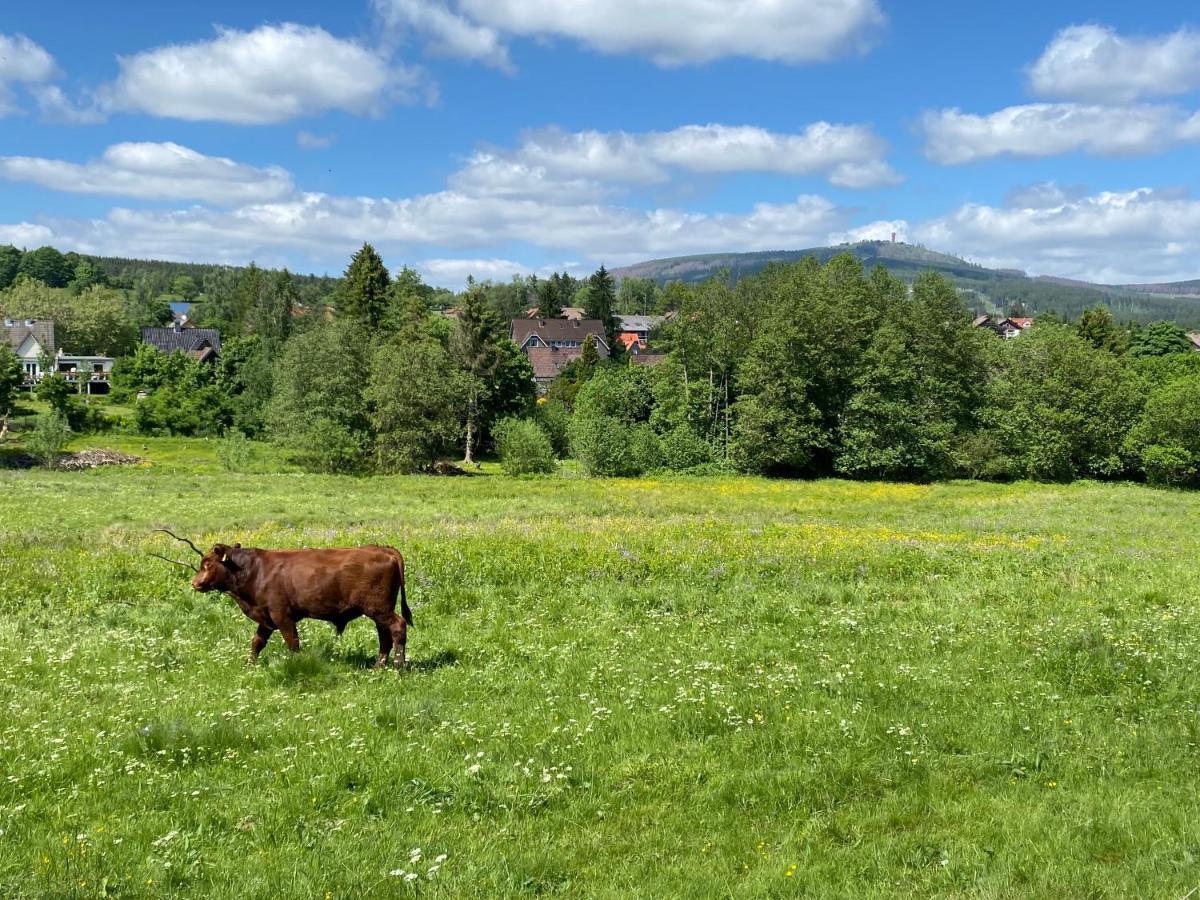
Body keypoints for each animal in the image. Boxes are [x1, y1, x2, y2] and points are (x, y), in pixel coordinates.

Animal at [188, 542, 412, 672]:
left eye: (207, 563)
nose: (194, 583)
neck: (256, 570)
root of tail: (382, 549)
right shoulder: (266, 618)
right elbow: (257, 642)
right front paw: (249, 665)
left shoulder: (282, 616)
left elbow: (292, 643)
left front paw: (297, 664)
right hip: (378, 611)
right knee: (384, 636)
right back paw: (379, 666)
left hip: (379, 609)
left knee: (398, 627)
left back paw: (398, 666)